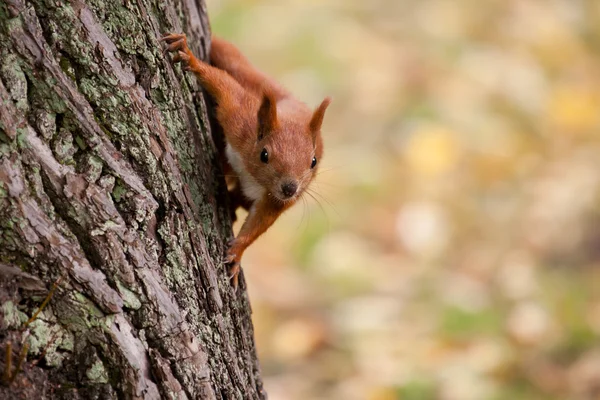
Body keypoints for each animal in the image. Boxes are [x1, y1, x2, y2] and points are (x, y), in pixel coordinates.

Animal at [163, 31, 332, 288]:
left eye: (313, 162)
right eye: (265, 154)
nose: (290, 189)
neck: (253, 176)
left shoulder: (275, 201)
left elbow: (260, 222)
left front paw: (237, 253)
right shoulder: (240, 120)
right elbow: (226, 87)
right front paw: (190, 57)